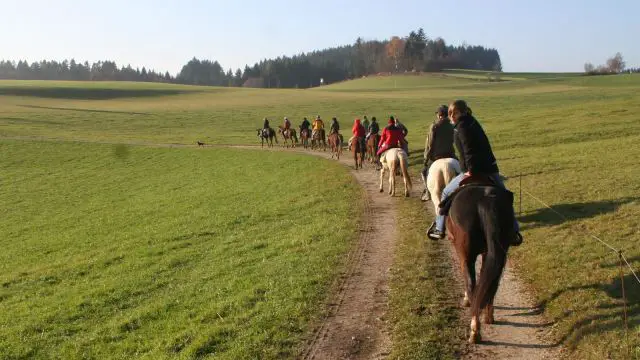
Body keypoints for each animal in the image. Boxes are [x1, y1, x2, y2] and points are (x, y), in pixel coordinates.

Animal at [448, 184, 516, 344]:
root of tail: (486, 199)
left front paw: (466, 300)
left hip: (467, 256)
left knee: (471, 285)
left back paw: (474, 331)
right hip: (498, 252)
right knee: (492, 282)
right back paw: (488, 316)